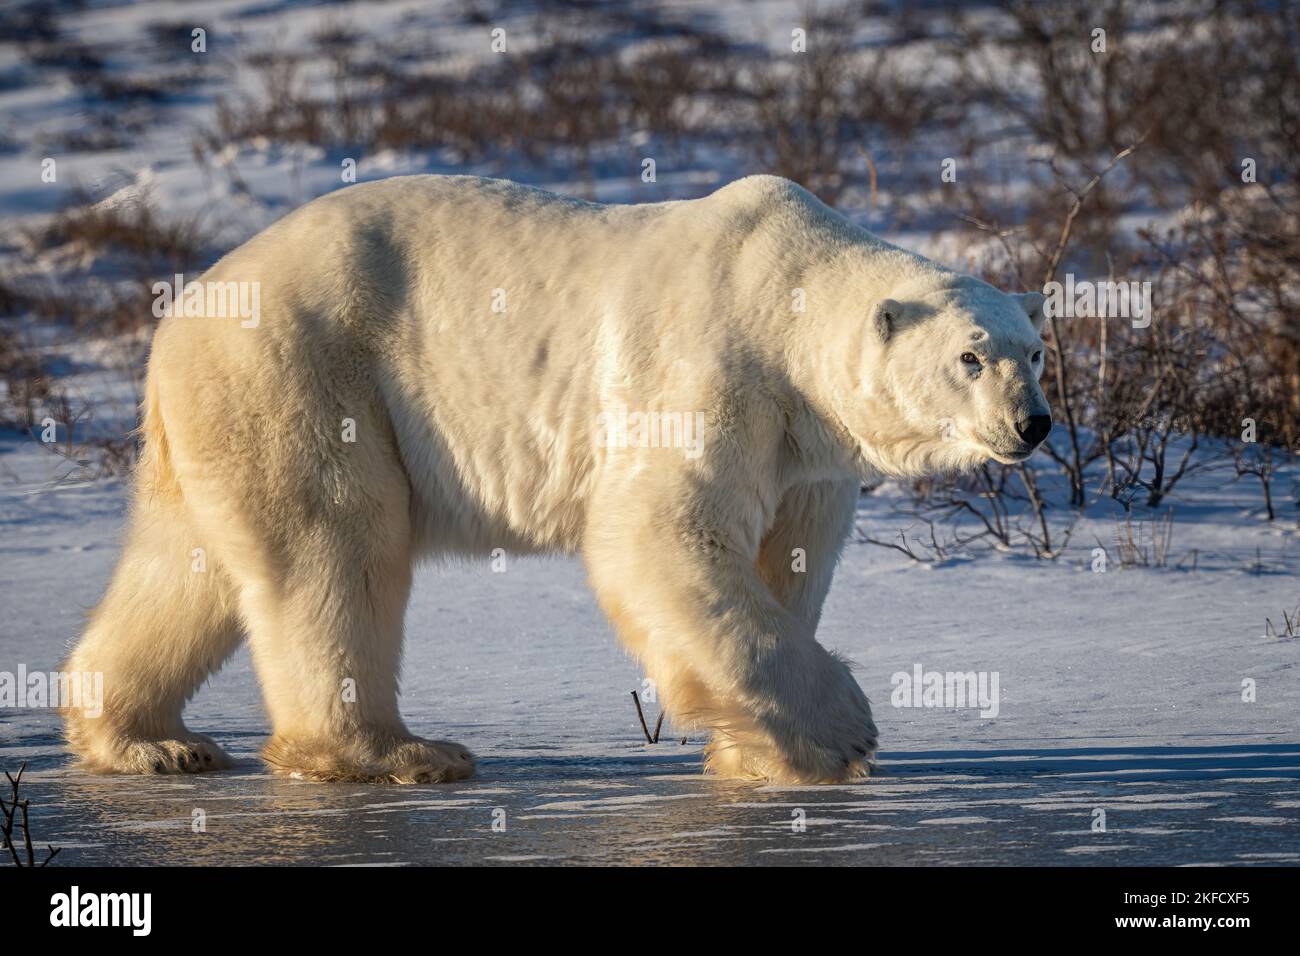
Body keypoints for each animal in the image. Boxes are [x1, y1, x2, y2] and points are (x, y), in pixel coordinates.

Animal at [65, 174, 1050, 785]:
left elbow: (791, 559)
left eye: (1036, 352)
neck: (783, 290)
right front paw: (844, 734)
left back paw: (147, 739)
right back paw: (399, 753)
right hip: (307, 372)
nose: (1032, 424)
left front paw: (757, 754)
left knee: (188, 565)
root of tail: (183, 312)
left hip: (219, 410)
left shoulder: (805, 447)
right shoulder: (712, 370)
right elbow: (658, 533)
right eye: (970, 357)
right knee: (336, 545)